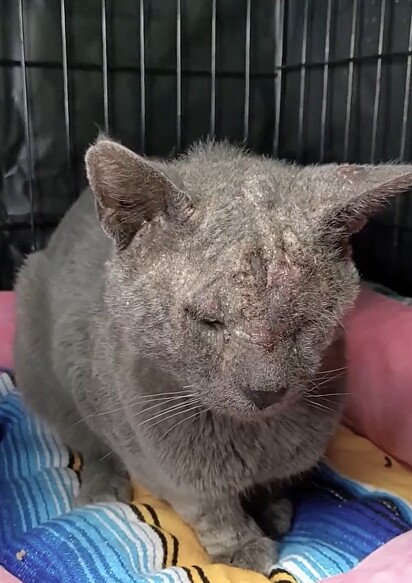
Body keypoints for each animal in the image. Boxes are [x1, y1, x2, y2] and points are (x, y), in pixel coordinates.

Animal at [12, 138, 412, 576]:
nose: (265, 390)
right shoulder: (168, 465)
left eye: (304, 323)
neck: (253, 436)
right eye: (210, 321)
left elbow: (278, 481)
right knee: (87, 440)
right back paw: (103, 489)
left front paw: (273, 512)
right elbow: (211, 509)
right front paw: (244, 547)